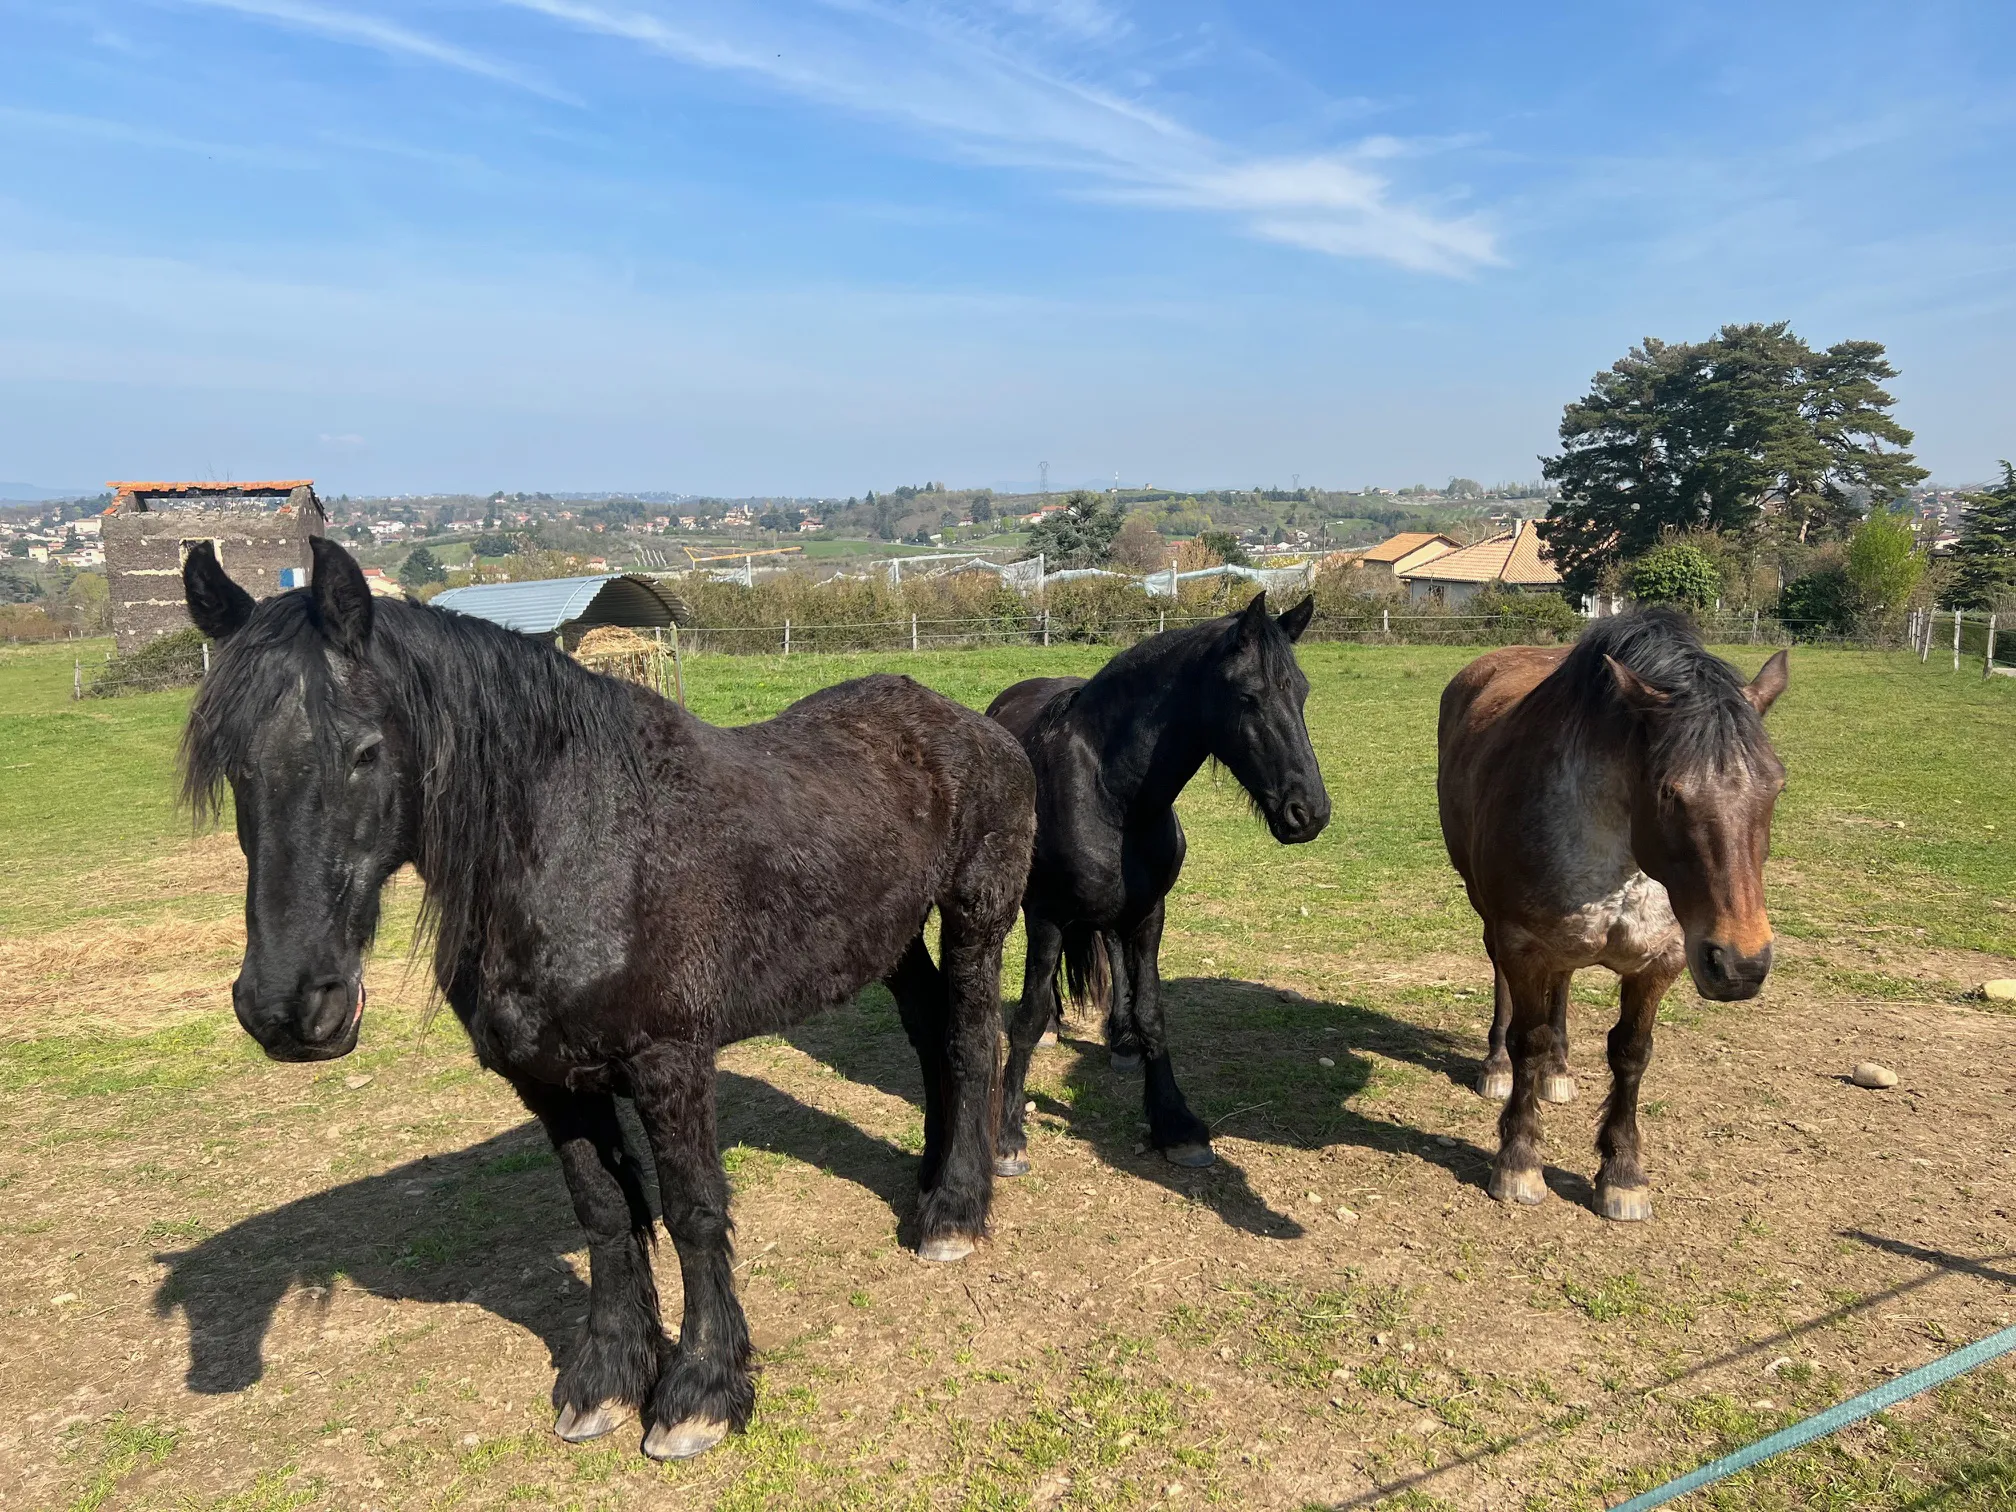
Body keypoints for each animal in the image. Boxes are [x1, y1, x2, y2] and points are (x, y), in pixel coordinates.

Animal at [179, 537, 1034, 1461]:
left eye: (365, 751)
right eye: (232, 764)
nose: (290, 1008)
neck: (583, 846)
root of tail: (971, 722)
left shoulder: (670, 1063)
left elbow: (693, 1213)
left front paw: (700, 1391)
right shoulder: (550, 1081)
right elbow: (604, 1214)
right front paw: (610, 1378)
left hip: (976, 917)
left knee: (970, 1041)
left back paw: (955, 1212)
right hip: (889, 939)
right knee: (929, 1033)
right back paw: (929, 1184)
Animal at [986, 591, 1330, 1173]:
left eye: (1302, 692)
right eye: (1248, 697)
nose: (1309, 813)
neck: (1109, 791)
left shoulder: (1150, 912)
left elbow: (1152, 1011)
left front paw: (1175, 1123)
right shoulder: (1048, 914)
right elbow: (1028, 1016)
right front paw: (1008, 1135)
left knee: (1110, 947)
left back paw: (1121, 1043)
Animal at [1437, 606, 1788, 1221]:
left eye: (1775, 785)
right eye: (1670, 792)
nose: (1741, 965)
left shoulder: (1661, 961)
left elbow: (1630, 1052)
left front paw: (1622, 1175)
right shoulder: (1523, 943)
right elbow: (1528, 1039)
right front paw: (1518, 1163)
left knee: (1563, 986)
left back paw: (1558, 1073)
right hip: (1490, 915)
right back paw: (1497, 1067)